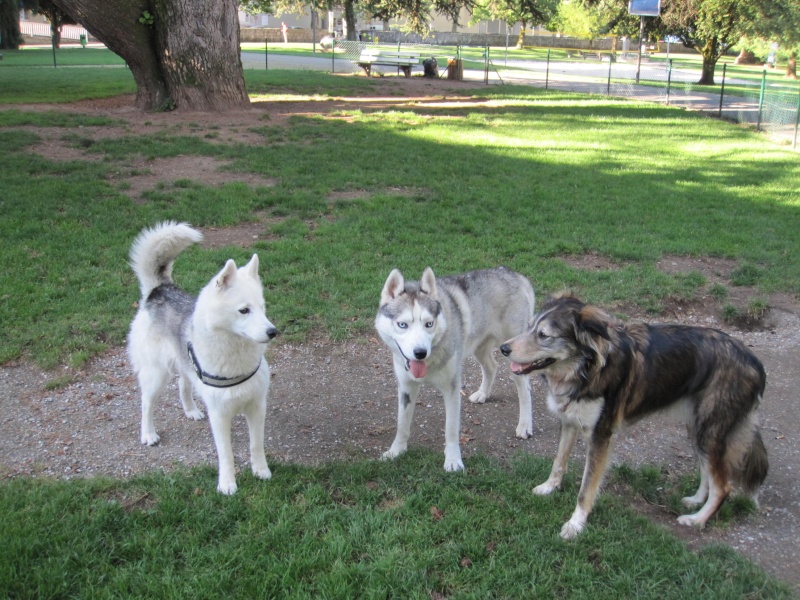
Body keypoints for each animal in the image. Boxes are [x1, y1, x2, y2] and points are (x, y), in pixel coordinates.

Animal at [127, 223, 278, 494]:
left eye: (262, 307)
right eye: (244, 310)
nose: (273, 332)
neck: (236, 358)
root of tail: (159, 290)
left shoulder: (257, 406)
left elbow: (256, 444)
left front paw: (261, 471)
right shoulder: (219, 414)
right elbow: (226, 454)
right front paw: (227, 483)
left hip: (184, 364)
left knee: (183, 383)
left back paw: (191, 410)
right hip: (156, 374)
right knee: (146, 403)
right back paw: (148, 434)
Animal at [376, 268, 536, 474]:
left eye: (429, 324)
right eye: (402, 325)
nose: (420, 352)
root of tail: (515, 274)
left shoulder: (451, 389)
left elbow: (451, 429)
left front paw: (453, 461)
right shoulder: (406, 388)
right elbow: (402, 424)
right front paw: (396, 451)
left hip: (512, 353)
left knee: (525, 389)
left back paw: (525, 425)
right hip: (479, 346)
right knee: (491, 367)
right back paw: (483, 394)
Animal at [500, 294, 768, 540]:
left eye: (544, 335)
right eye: (529, 327)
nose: (503, 348)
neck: (586, 369)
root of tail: (755, 362)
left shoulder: (601, 435)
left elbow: (586, 488)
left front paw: (575, 524)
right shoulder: (569, 422)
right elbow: (558, 462)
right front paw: (549, 487)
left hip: (710, 432)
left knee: (723, 486)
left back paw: (697, 520)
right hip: (698, 429)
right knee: (708, 474)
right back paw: (695, 501)